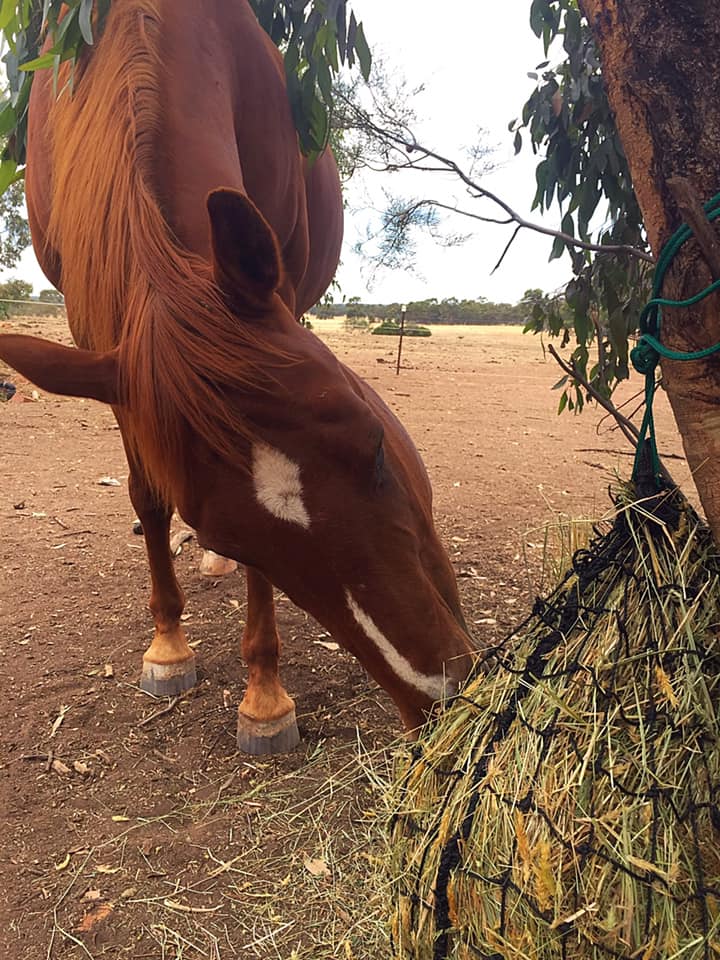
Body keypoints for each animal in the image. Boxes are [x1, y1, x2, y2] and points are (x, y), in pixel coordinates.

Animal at [0, 0, 476, 752]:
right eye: (231, 534)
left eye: (374, 443)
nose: (438, 696)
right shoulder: (106, 352)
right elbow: (147, 495)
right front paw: (169, 647)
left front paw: (264, 697)